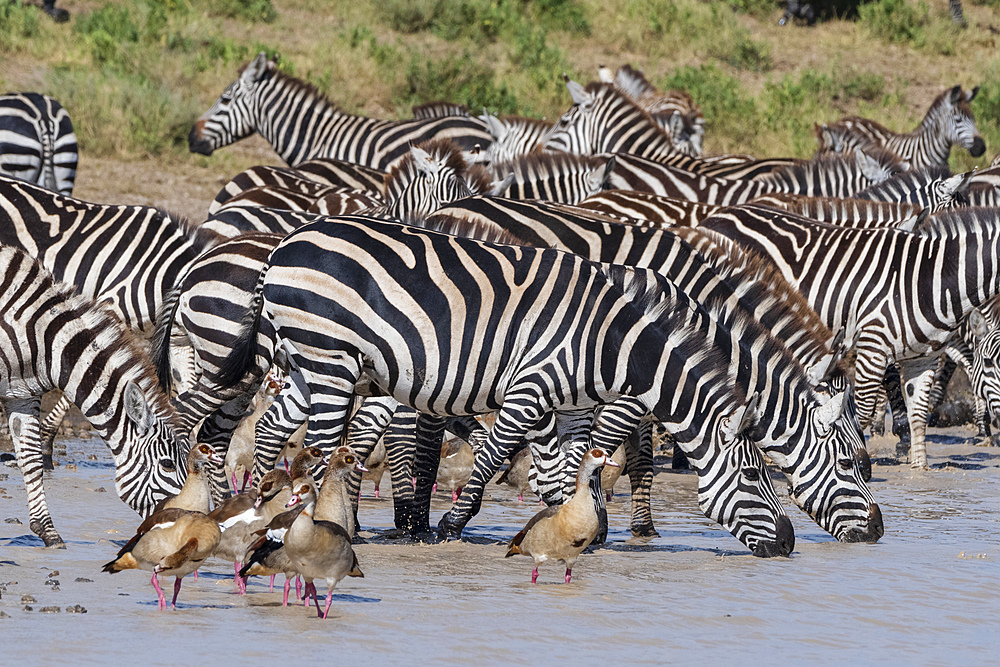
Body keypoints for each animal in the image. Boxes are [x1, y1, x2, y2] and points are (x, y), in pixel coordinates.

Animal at [0, 248, 187, 544]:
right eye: (167, 464)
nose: (184, 519)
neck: (45, 342)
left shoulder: (21, 395)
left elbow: (31, 460)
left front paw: (48, 532)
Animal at [215, 217, 792, 556]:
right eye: (754, 475)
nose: (788, 544)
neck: (612, 343)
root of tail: (285, 243)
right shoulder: (530, 387)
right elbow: (493, 455)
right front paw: (451, 526)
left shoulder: (573, 406)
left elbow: (571, 468)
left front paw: (567, 527)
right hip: (328, 357)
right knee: (316, 445)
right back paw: (316, 525)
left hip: (304, 362)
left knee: (270, 430)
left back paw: (263, 513)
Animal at [696, 205, 1000, 470]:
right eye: (989, 362)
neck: (931, 280)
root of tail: (714, 216)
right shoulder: (873, 346)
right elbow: (861, 412)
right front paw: (857, 458)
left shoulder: (923, 357)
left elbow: (918, 414)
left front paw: (919, 469)